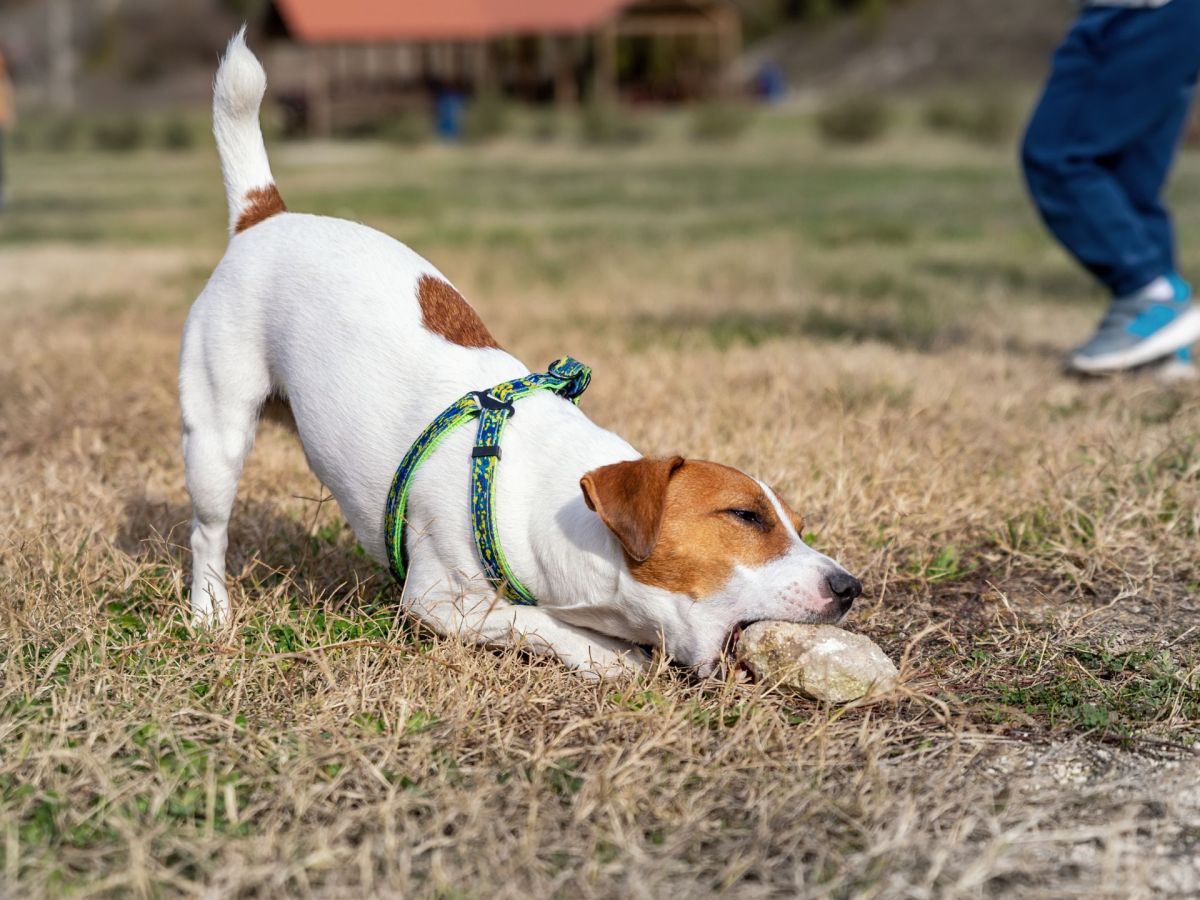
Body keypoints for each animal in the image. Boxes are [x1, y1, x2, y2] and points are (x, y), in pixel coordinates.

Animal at [177, 31, 864, 681]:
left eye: (797, 523)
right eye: (745, 516)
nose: (849, 586)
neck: (557, 507)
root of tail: (265, 215)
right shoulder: (439, 600)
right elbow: (532, 621)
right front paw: (609, 656)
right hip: (216, 436)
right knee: (208, 530)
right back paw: (210, 612)